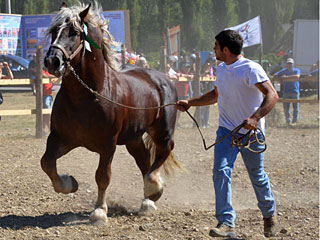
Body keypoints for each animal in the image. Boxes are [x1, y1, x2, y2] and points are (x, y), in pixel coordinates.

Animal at [41, 1, 179, 224]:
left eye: (74, 32)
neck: (87, 96)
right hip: (133, 138)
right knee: (144, 161)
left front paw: (99, 211)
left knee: (163, 152)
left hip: (162, 131)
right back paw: (147, 202)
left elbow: (102, 176)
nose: (53, 61)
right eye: (54, 31)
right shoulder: (61, 138)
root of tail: (162, 78)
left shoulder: (108, 145)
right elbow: (47, 163)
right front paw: (69, 183)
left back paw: (154, 188)